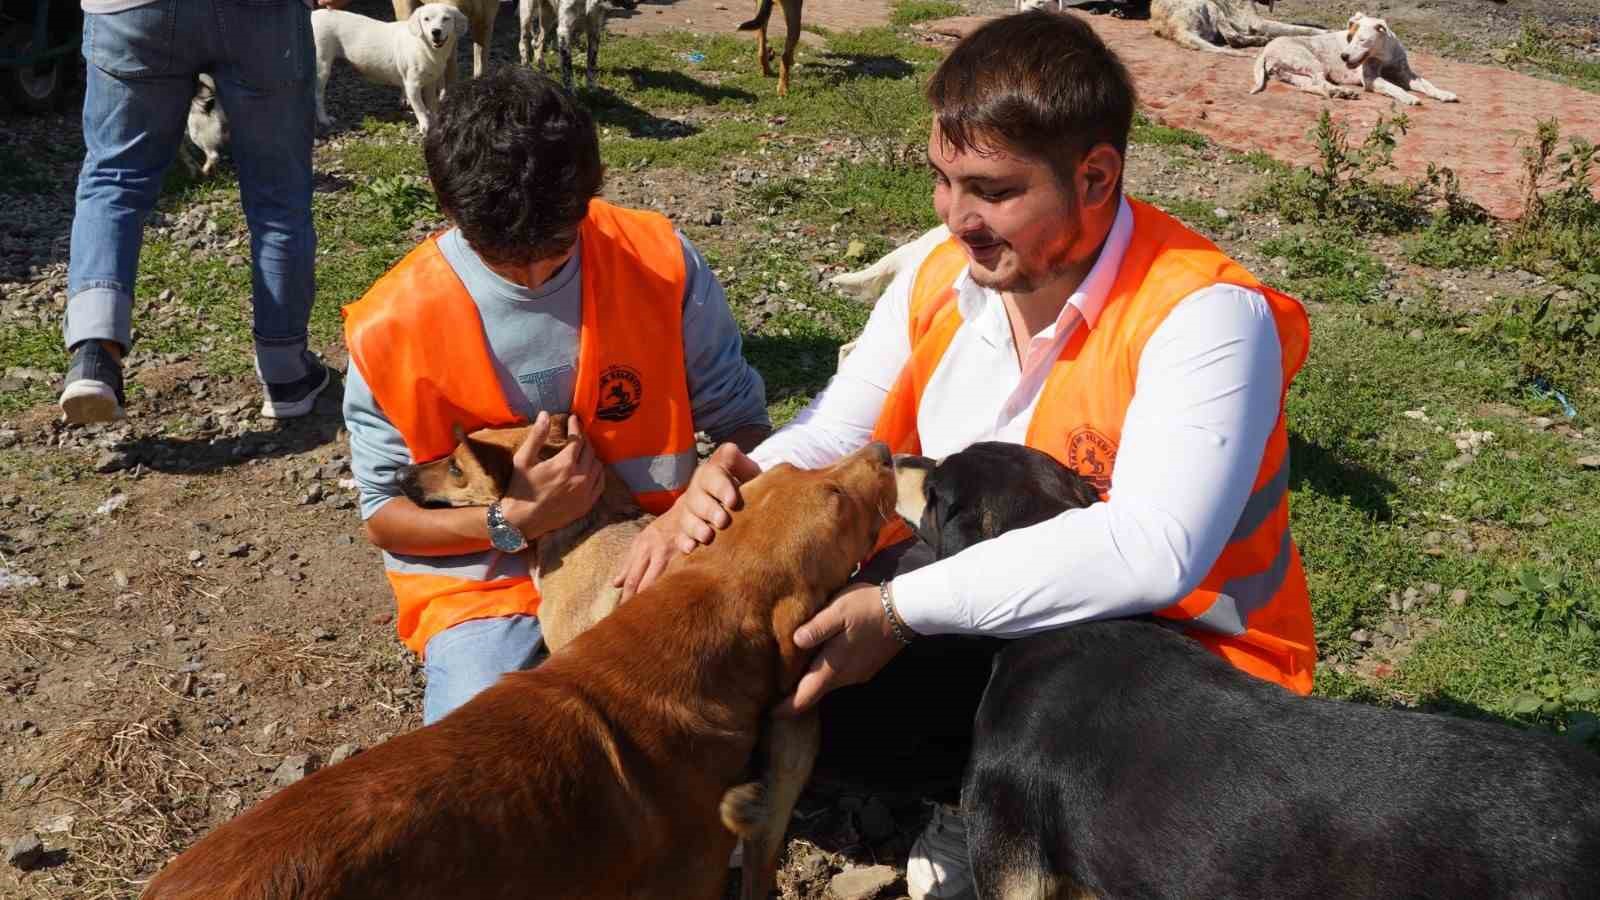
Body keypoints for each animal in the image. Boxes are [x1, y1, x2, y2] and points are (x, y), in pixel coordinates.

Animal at [308, 3, 467, 132]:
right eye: (426, 19)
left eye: (446, 18)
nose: (436, 32)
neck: (424, 47)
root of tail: (313, 15)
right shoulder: (412, 86)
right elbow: (420, 109)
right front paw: (425, 126)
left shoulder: (430, 83)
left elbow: (432, 105)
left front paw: (434, 123)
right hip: (322, 67)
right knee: (317, 96)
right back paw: (324, 119)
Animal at [1152, 0, 1324, 56]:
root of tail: (1177, 29)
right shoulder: (1256, 21)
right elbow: (1298, 28)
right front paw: (1324, 32)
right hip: (1212, 6)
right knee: (1233, 38)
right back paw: (1261, 39)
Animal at [1248, 10, 1465, 104]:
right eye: (1349, 37)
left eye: (1362, 40)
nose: (1343, 56)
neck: (1383, 54)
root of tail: (1265, 49)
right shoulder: (1371, 78)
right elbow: (1392, 87)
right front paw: (1408, 96)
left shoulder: (1406, 74)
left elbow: (1427, 84)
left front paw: (1444, 94)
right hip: (1311, 62)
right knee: (1321, 81)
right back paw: (1342, 92)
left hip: (1294, 73)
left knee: (1310, 86)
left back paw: (1337, 93)